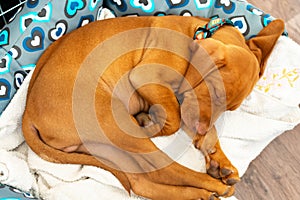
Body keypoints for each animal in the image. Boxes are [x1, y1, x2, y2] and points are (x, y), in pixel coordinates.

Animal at [22, 16, 284, 200]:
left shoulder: (185, 103)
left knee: (141, 181)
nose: (200, 131)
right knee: (165, 169)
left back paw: (199, 192)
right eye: (216, 93)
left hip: (101, 145)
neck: (197, 32)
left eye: (230, 108)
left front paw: (218, 159)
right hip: (113, 120)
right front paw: (155, 122)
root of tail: (28, 114)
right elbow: (175, 118)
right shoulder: (145, 77)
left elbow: (190, 120)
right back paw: (211, 186)